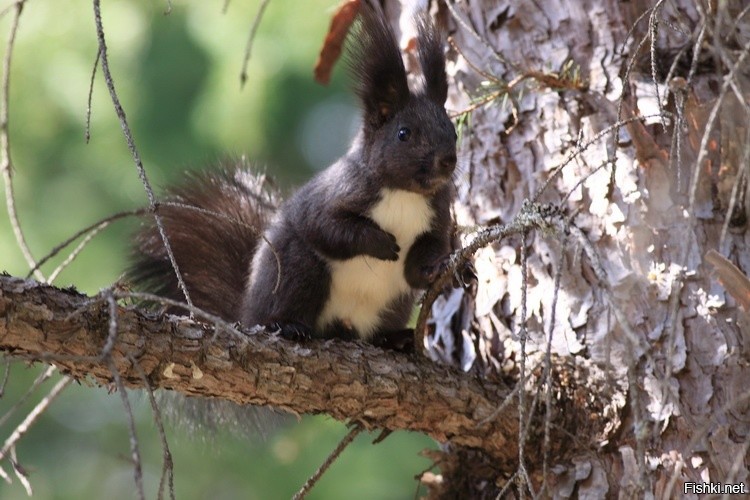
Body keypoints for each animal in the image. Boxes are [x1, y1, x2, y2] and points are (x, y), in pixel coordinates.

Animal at [129, 8, 458, 352]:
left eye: (453, 130)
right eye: (403, 133)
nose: (448, 161)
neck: (404, 193)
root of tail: (246, 315)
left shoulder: (436, 217)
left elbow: (425, 257)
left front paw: (439, 268)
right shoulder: (336, 193)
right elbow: (328, 228)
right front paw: (380, 243)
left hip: (392, 304)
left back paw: (395, 338)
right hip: (297, 270)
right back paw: (288, 326)